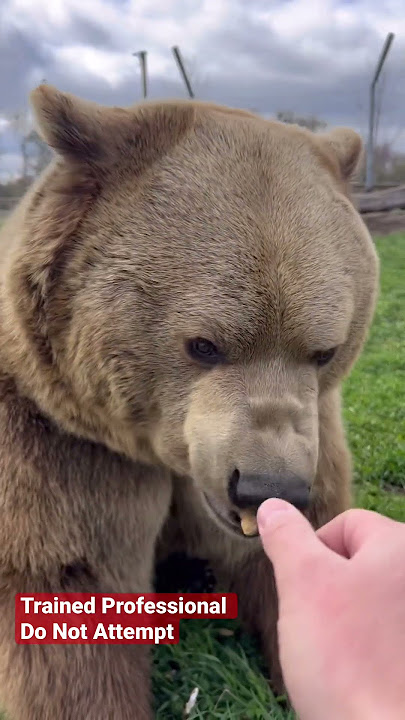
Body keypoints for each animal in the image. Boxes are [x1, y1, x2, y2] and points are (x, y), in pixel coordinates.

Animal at [0, 86, 378, 720]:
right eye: (203, 344)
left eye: (324, 350)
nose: (265, 487)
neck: (166, 457)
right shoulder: (61, 444)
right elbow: (71, 599)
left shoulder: (316, 430)